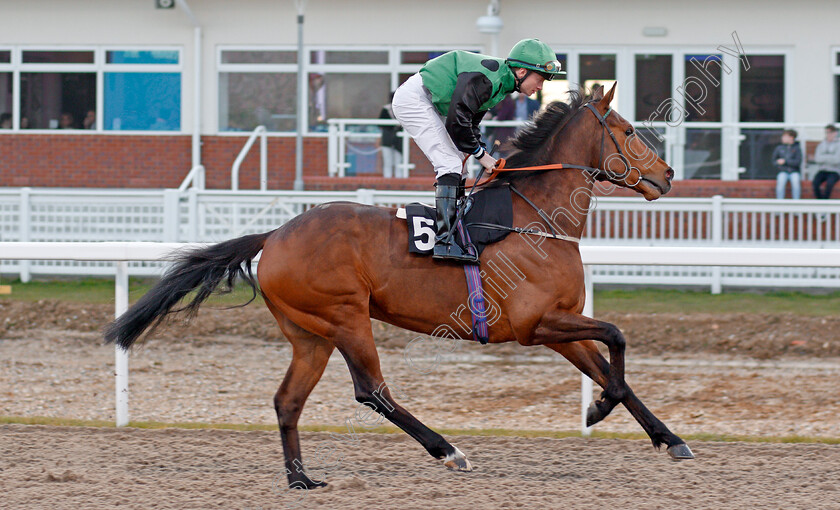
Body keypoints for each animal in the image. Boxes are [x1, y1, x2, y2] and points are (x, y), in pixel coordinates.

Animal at [105, 83, 696, 490]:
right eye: (627, 130)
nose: (667, 174)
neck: (536, 218)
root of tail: (275, 234)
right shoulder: (536, 324)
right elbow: (617, 336)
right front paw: (600, 409)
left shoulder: (559, 326)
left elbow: (613, 367)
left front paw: (664, 436)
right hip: (346, 316)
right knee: (372, 390)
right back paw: (447, 450)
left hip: (310, 334)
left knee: (287, 400)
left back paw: (301, 478)